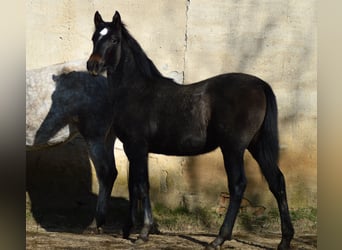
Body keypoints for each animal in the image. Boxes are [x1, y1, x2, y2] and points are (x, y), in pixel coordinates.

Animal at [86, 11, 294, 250]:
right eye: (94, 37)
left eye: (114, 40)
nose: (92, 65)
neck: (136, 91)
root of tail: (260, 85)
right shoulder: (134, 149)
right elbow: (134, 186)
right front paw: (128, 229)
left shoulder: (137, 146)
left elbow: (142, 185)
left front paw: (144, 232)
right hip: (257, 146)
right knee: (277, 182)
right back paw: (285, 240)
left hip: (233, 148)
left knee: (238, 185)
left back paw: (218, 239)